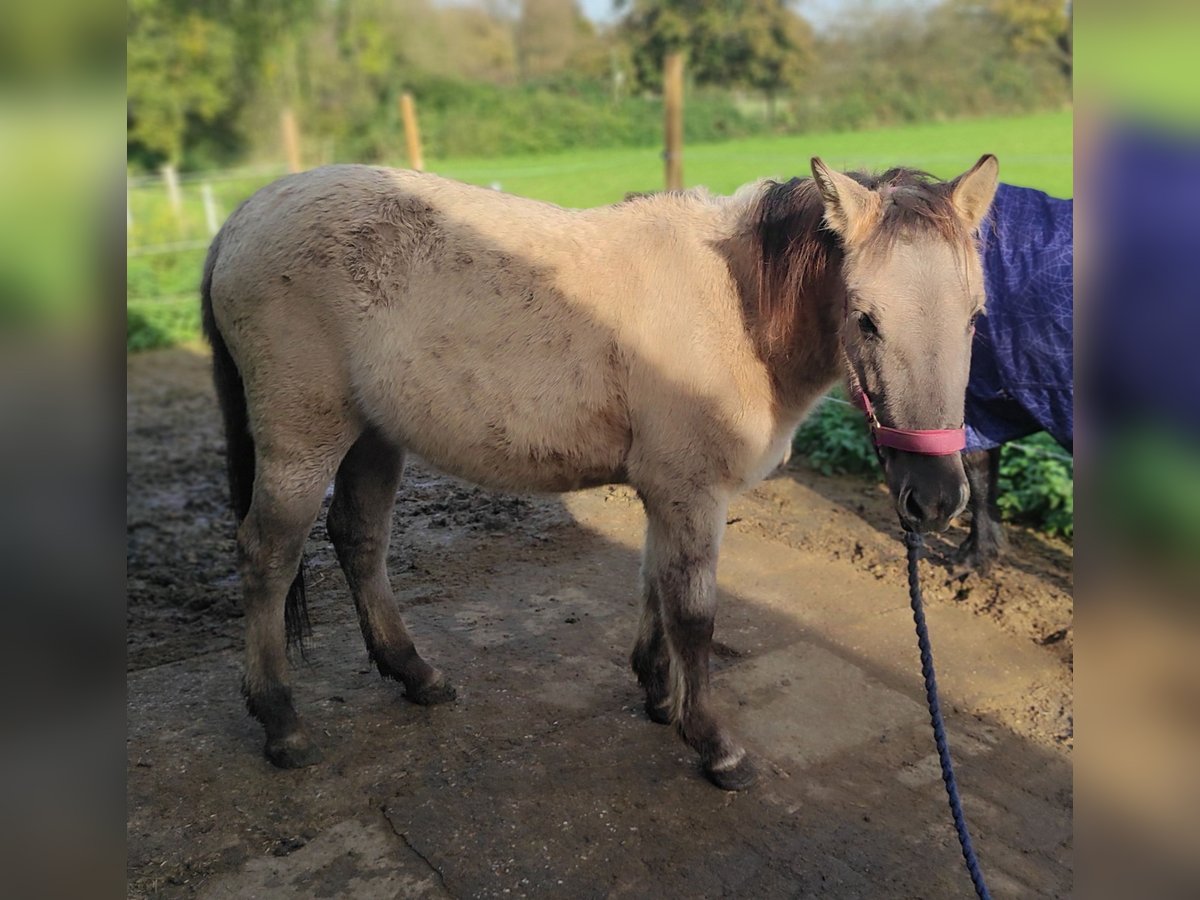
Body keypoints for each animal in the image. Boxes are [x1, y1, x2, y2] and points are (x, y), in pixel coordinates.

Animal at [201, 154, 998, 787]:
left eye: (974, 316)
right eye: (866, 319)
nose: (935, 499)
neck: (735, 305)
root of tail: (245, 217)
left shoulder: (669, 491)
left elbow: (654, 585)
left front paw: (659, 694)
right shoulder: (691, 492)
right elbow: (694, 614)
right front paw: (715, 745)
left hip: (374, 436)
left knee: (360, 540)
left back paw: (416, 675)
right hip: (303, 439)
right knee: (268, 558)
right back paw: (281, 721)